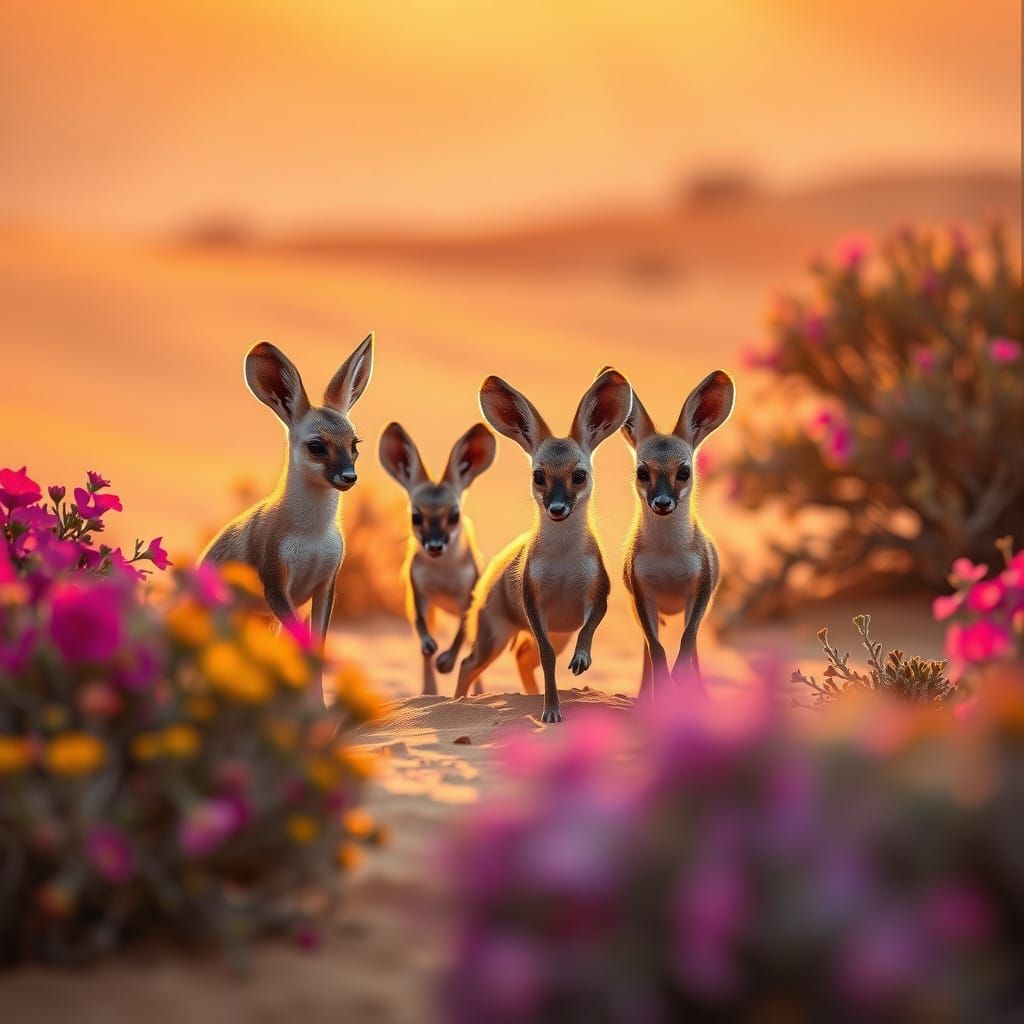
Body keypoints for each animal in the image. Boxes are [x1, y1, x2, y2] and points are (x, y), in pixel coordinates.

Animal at [200, 334, 374, 700]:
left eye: (354, 445)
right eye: (317, 446)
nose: (349, 477)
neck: (312, 536)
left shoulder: (325, 585)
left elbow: (316, 651)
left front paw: (318, 708)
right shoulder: (276, 586)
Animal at [379, 421, 497, 696]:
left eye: (454, 515)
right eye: (415, 517)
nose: (434, 546)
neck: (444, 576)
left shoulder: (468, 596)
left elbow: (461, 634)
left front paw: (446, 662)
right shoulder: (418, 592)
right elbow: (420, 626)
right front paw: (430, 647)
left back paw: (479, 693)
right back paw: (429, 690)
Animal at [454, 369, 633, 723]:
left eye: (579, 475)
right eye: (538, 475)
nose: (558, 508)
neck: (563, 562)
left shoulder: (597, 594)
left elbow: (587, 631)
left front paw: (581, 661)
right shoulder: (534, 602)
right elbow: (547, 656)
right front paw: (551, 712)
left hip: (556, 633)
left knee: (522, 658)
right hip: (494, 635)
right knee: (471, 663)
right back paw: (457, 703)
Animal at [618, 368, 735, 694]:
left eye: (684, 472)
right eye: (643, 472)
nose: (662, 502)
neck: (667, 557)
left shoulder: (700, 592)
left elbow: (686, 645)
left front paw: (683, 687)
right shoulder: (643, 596)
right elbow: (657, 651)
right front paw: (662, 690)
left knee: (692, 649)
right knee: (648, 651)